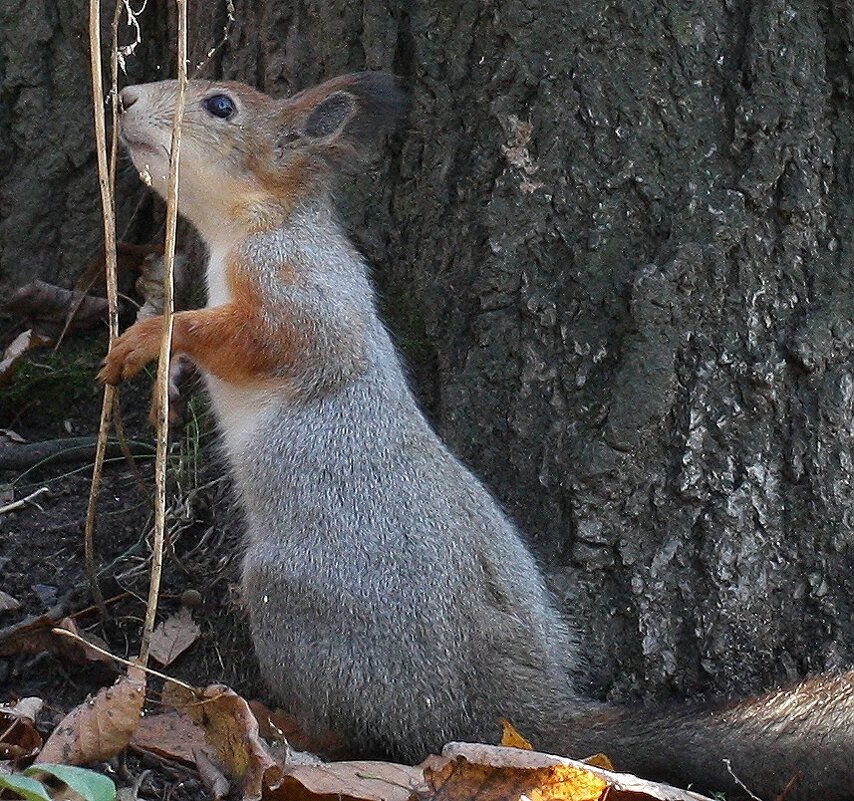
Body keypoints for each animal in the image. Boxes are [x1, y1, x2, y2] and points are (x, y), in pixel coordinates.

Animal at [100, 72, 854, 796]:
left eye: (221, 106)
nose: (125, 97)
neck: (256, 222)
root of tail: (502, 700)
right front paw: (163, 380)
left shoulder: (299, 294)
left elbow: (258, 340)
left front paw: (151, 337)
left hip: (295, 605)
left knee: (352, 723)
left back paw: (274, 717)